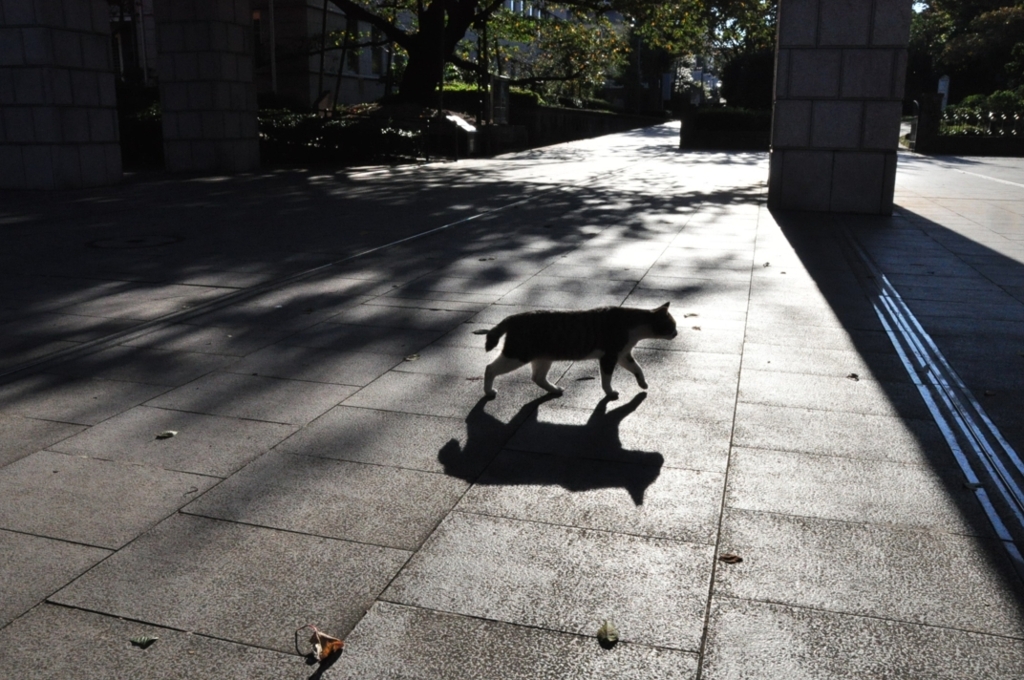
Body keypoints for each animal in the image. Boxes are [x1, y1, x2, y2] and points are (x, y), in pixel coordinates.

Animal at [483, 303, 675, 399]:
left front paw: (643, 384)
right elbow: (606, 379)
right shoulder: (609, 357)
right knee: (490, 368)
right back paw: (488, 391)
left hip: (543, 358)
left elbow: (638, 368)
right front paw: (610, 392)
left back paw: (554, 389)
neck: (633, 323)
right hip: (517, 355)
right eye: (672, 325)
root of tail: (513, 317)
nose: (676, 333)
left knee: (537, 378)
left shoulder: (622, 355)